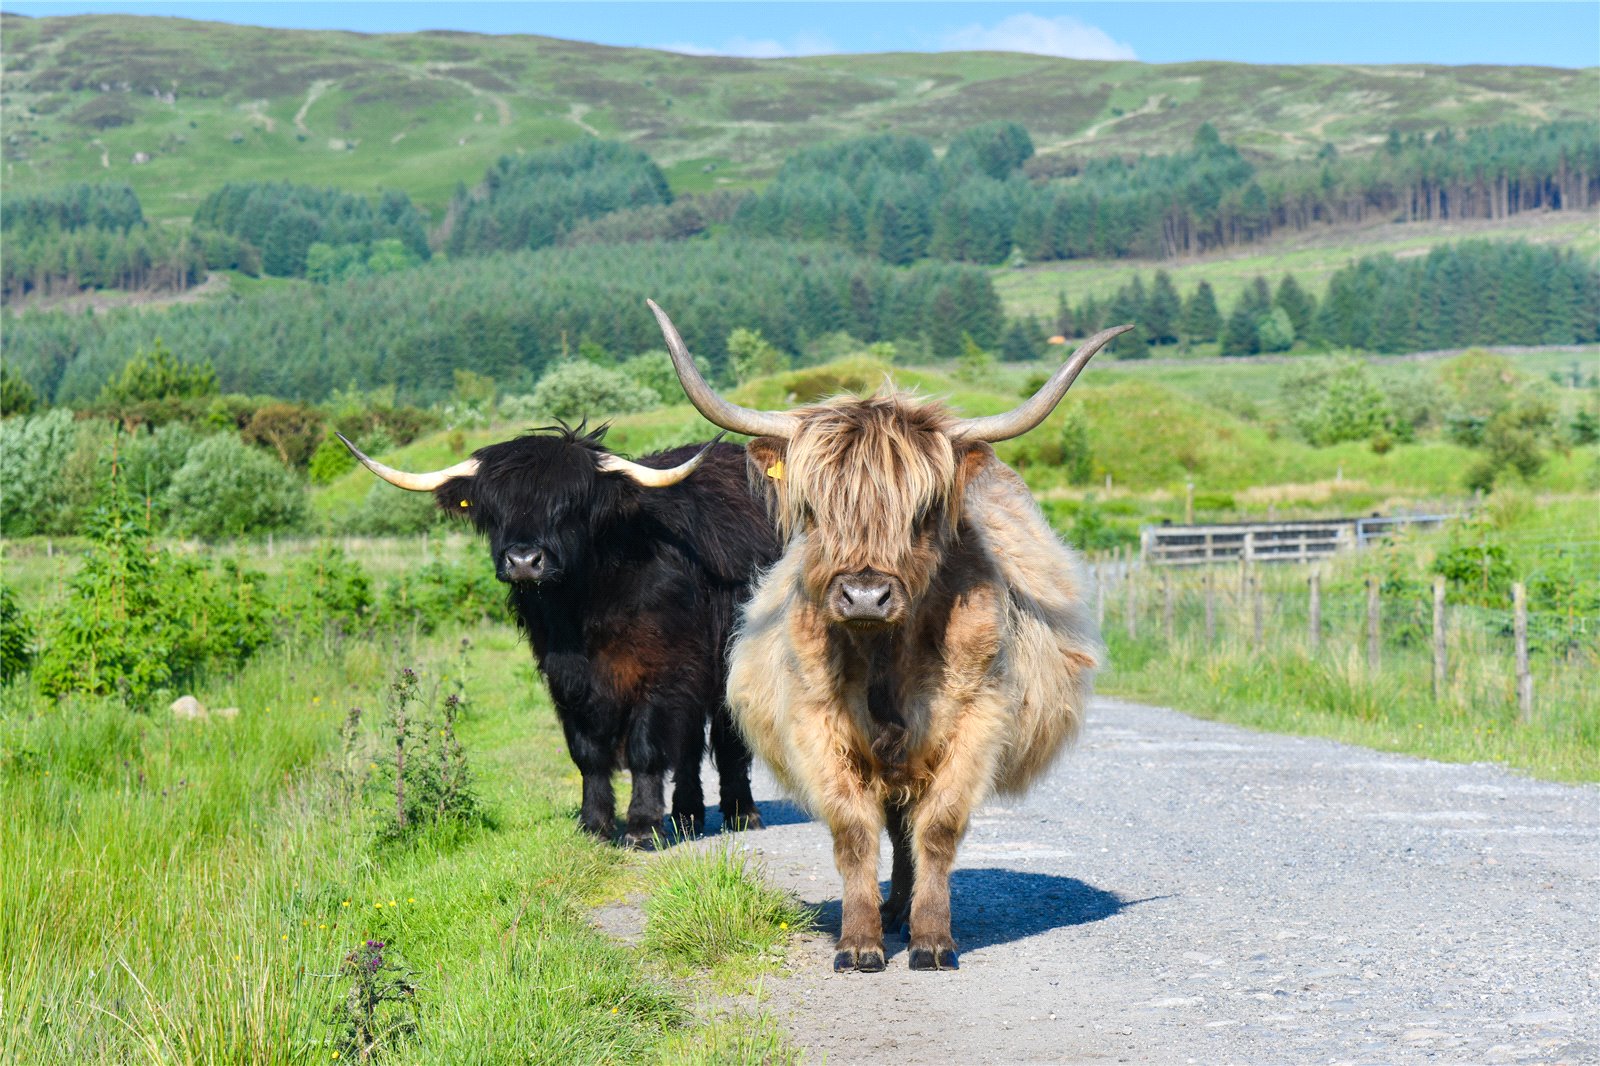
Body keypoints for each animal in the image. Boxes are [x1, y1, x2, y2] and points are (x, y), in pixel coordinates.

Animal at [340, 422, 777, 845]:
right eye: (495, 510)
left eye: (569, 506)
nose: (523, 561)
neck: (585, 606)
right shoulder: (565, 675)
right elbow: (587, 752)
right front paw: (594, 825)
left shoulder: (663, 670)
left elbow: (647, 748)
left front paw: (641, 826)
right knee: (690, 745)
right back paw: (687, 816)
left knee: (726, 736)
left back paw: (740, 812)